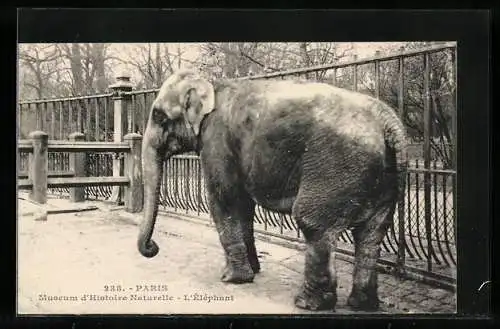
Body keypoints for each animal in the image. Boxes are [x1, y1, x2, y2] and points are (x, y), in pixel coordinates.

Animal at [136, 69, 406, 310]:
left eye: (159, 116)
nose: (153, 247)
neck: (211, 82)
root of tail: (388, 122)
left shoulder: (217, 141)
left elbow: (225, 200)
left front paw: (231, 279)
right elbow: (243, 207)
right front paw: (252, 271)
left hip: (336, 166)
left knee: (313, 221)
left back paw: (308, 303)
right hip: (383, 178)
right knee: (373, 231)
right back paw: (362, 304)